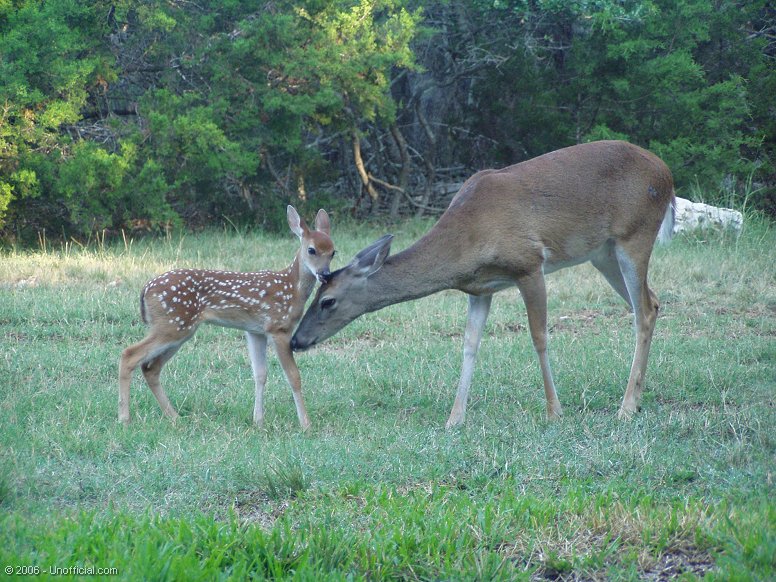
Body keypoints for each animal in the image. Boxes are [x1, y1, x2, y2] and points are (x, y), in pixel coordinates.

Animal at [119, 208, 334, 432]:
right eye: (311, 250)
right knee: (129, 355)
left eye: (333, 252)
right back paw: (125, 418)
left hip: (178, 329)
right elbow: (293, 376)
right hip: (172, 325)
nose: (325, 274)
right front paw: (306, 424)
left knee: (151, 368)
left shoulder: (255, 331)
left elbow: (260, 374)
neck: (292, 289)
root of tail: (146, 289)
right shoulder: (279, 328)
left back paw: (174, 417)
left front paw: (258, 421)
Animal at [292, 140, 672, 426]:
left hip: (635, 234)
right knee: (651, 302)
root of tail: (666, 173)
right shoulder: (480, 289)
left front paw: (554, 411)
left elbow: (539, 337)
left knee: (643, 310)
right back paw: (637, 399)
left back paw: (626, 407)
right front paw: (454, 419)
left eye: (327, 300)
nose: (296, 340)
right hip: (603, 252)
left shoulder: (529, 263)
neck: (465, 241)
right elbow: (469, 344)